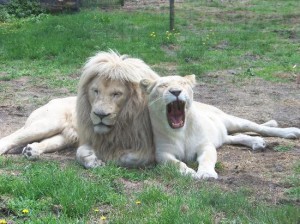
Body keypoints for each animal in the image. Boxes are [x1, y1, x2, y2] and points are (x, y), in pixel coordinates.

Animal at [0, 50, 159, 167]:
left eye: (116, 94)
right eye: (95, 91)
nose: (100, 115)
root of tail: (51, 100)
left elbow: (134, 157)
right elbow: (82, 152)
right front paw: (94, 160)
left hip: (66, 136)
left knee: (49, 141)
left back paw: (31, 150)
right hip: (48, 123)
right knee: (11, 137)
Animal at [141, 74, 300, 179]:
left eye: (183, 84)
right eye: (163, 86)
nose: (176, 91)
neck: (181, 131)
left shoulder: (205, 145)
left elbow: (207, 159)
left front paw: (206, 174)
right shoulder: (162, 153)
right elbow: (176, 163)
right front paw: (187, 172)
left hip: (233, 121)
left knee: (259, 128)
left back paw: (291, 131)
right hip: (221, 135)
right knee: (234, 137)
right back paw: (257, 142)